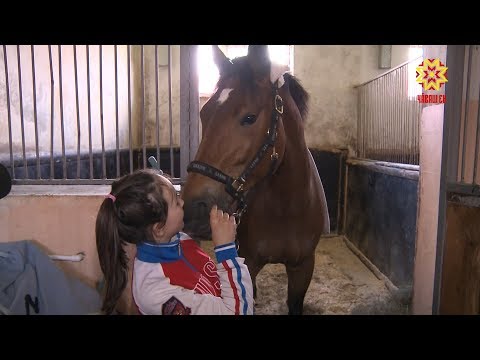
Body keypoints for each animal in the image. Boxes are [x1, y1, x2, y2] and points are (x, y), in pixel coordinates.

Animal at [181, 45, 330, 316]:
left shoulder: (303, 267)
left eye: (249, 118)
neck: (286, 208)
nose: (193, 209)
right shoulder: (249, 261)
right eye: (204, 114)